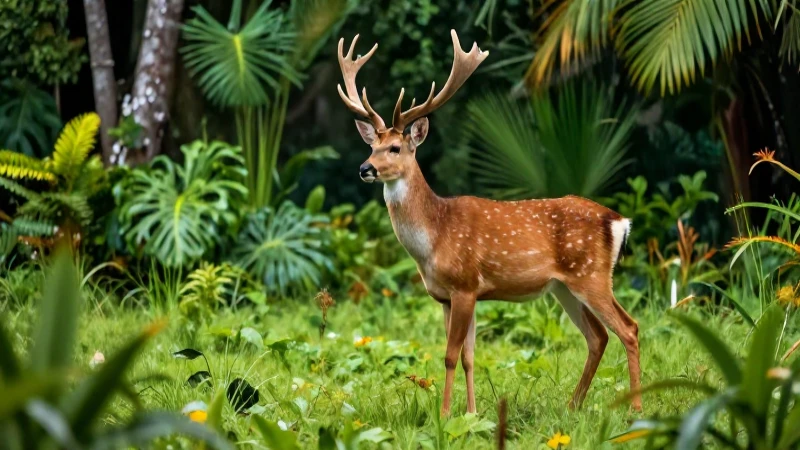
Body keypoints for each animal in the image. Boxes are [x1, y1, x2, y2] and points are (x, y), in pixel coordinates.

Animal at [335, 30, 642, 415]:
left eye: (395, 148)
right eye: (372, 145)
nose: (365, 168)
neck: (434, 237)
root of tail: (620, 221)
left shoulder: (465, 285)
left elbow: (451, 355)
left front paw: (445, 414)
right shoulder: (446, 297)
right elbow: (469, 356)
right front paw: (471, 413)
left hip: (593, 275)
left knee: (628, 328)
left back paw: (636, 408)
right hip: (564, 286)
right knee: (598, 336)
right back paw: (572, 406)